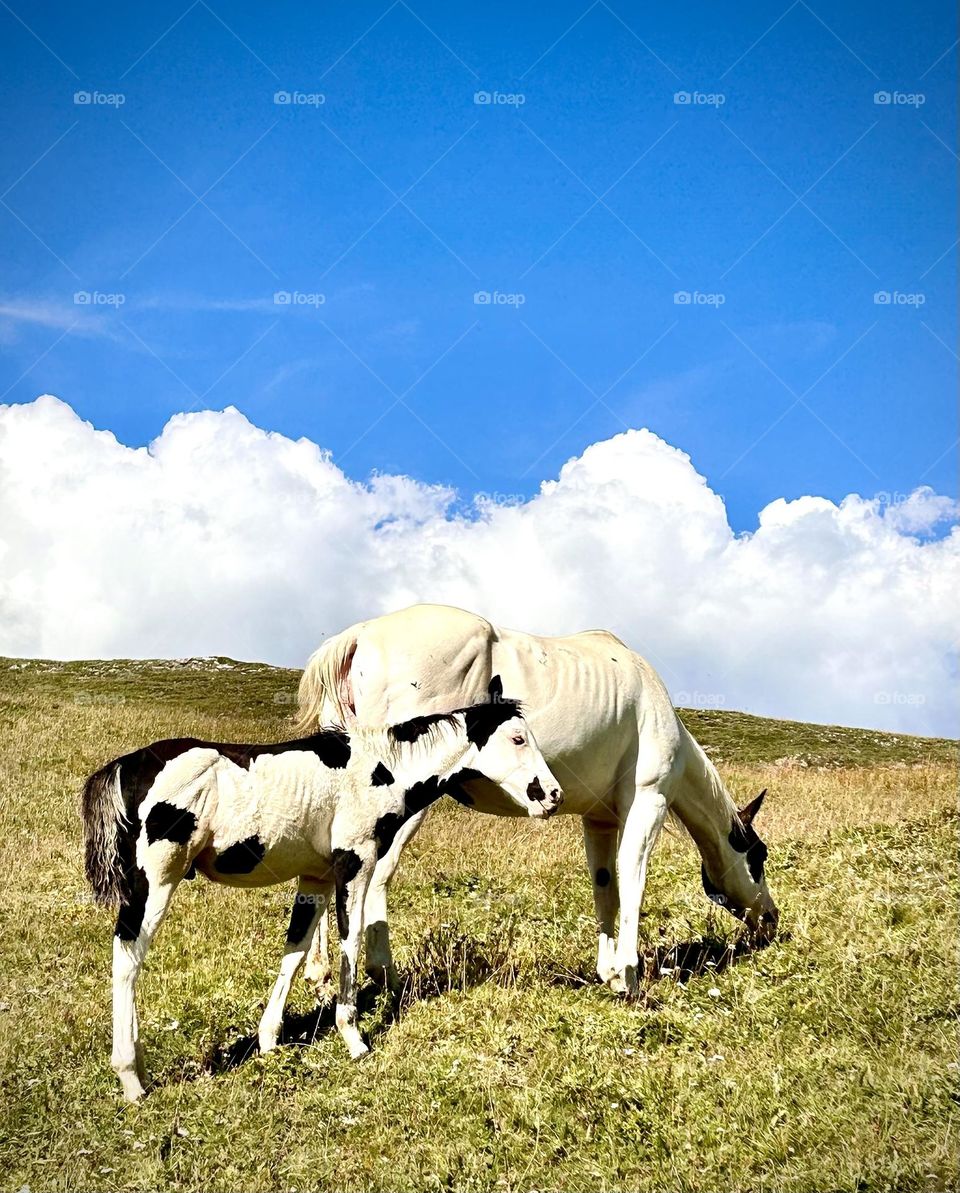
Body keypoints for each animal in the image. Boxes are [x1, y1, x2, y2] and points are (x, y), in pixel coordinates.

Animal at [84, 682, 562, 1097]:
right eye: (518, 738)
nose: (553, 795)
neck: (381, 767)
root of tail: (127, 766)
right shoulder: (355, 864)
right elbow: (350, 940)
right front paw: (354, 1039)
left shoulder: (315, 879)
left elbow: (295, 952)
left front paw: (269, 1041)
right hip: (155, 882)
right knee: (127, 957)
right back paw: (131, 1079)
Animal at [295, 601, 777, 992]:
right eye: (759, 855)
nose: (771, 921)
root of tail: (361, 634)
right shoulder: (648, 803)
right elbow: (633, 879)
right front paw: (629, 974)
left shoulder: (599, 820)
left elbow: (606, 885)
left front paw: (608, 972)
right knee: (374, 876)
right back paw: (382, 974)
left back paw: (321, 974)